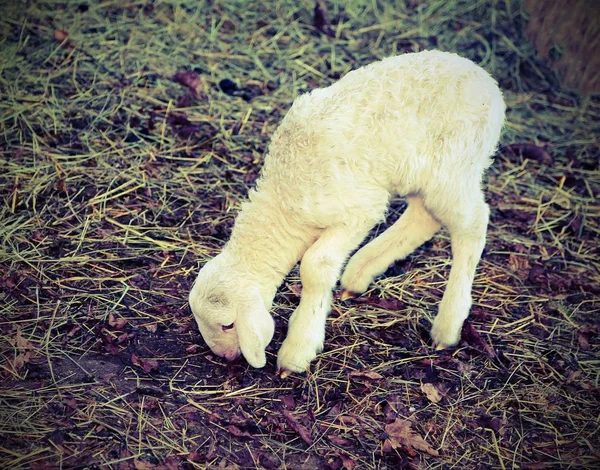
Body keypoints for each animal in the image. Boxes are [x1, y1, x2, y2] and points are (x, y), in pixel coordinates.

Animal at [189, 50, 506, 374]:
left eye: (228, 325)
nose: (226, 358)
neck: (284, 196)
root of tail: (486, 80)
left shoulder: (359, 210)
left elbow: (316, 266)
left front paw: (298, 348)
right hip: (420, 174)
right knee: (423, 216)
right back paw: (359, 273)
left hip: (454, 166)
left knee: (473, 222)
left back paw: (448, 325)